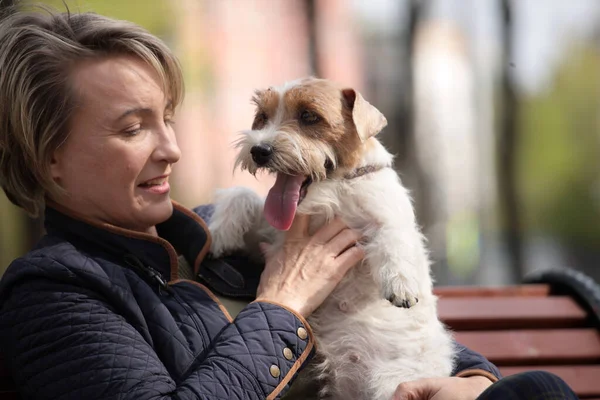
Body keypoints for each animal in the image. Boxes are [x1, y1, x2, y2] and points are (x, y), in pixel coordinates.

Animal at [207, 76, 454, 398]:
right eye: (262, 117)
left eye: (309, 116)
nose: (259, 150)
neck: (333, 195)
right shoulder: (272, 235)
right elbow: (242, 194)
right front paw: (219, 232)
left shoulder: (388, 214)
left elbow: (392, 234)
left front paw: (401, 285)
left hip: (393, 386)